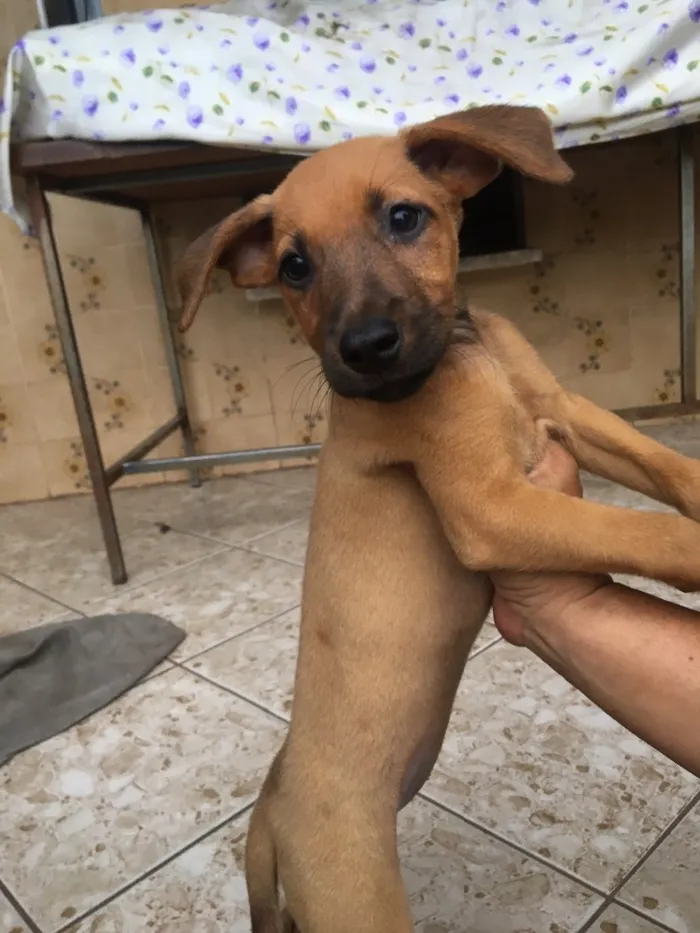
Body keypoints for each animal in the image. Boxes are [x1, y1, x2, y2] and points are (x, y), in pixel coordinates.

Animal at [178, 105, 700, 928]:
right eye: (295, 266)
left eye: (403, 217)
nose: (365, 347)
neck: (465, 350)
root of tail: (267, 812)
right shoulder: (489, 506)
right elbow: (645, 530)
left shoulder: (567, 413)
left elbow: (668, 467)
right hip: (357, 901)